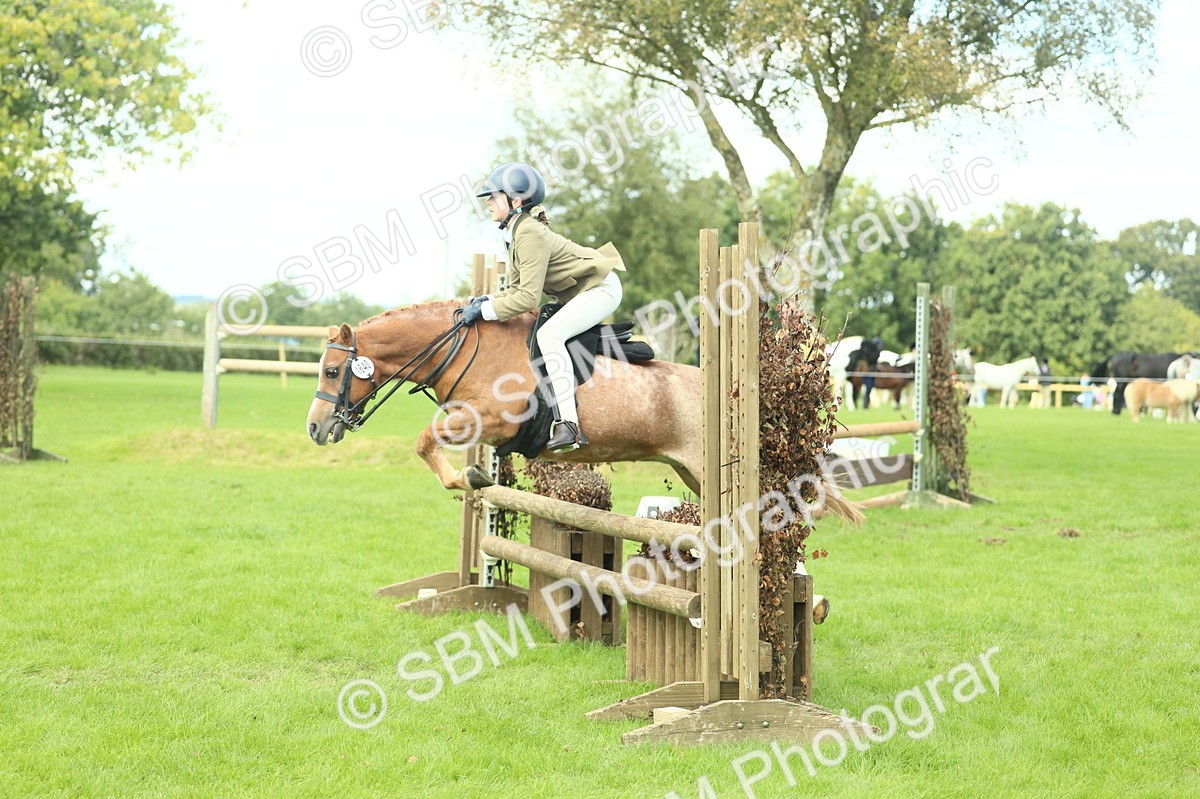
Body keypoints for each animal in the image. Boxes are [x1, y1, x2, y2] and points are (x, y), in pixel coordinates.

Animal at [305, 300, 862, 523]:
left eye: (332, 372)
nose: (314, 428)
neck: (466, 347)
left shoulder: (493, 418)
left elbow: (423, 441)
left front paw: (469, 480)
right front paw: (475, 479)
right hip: (694, 473)